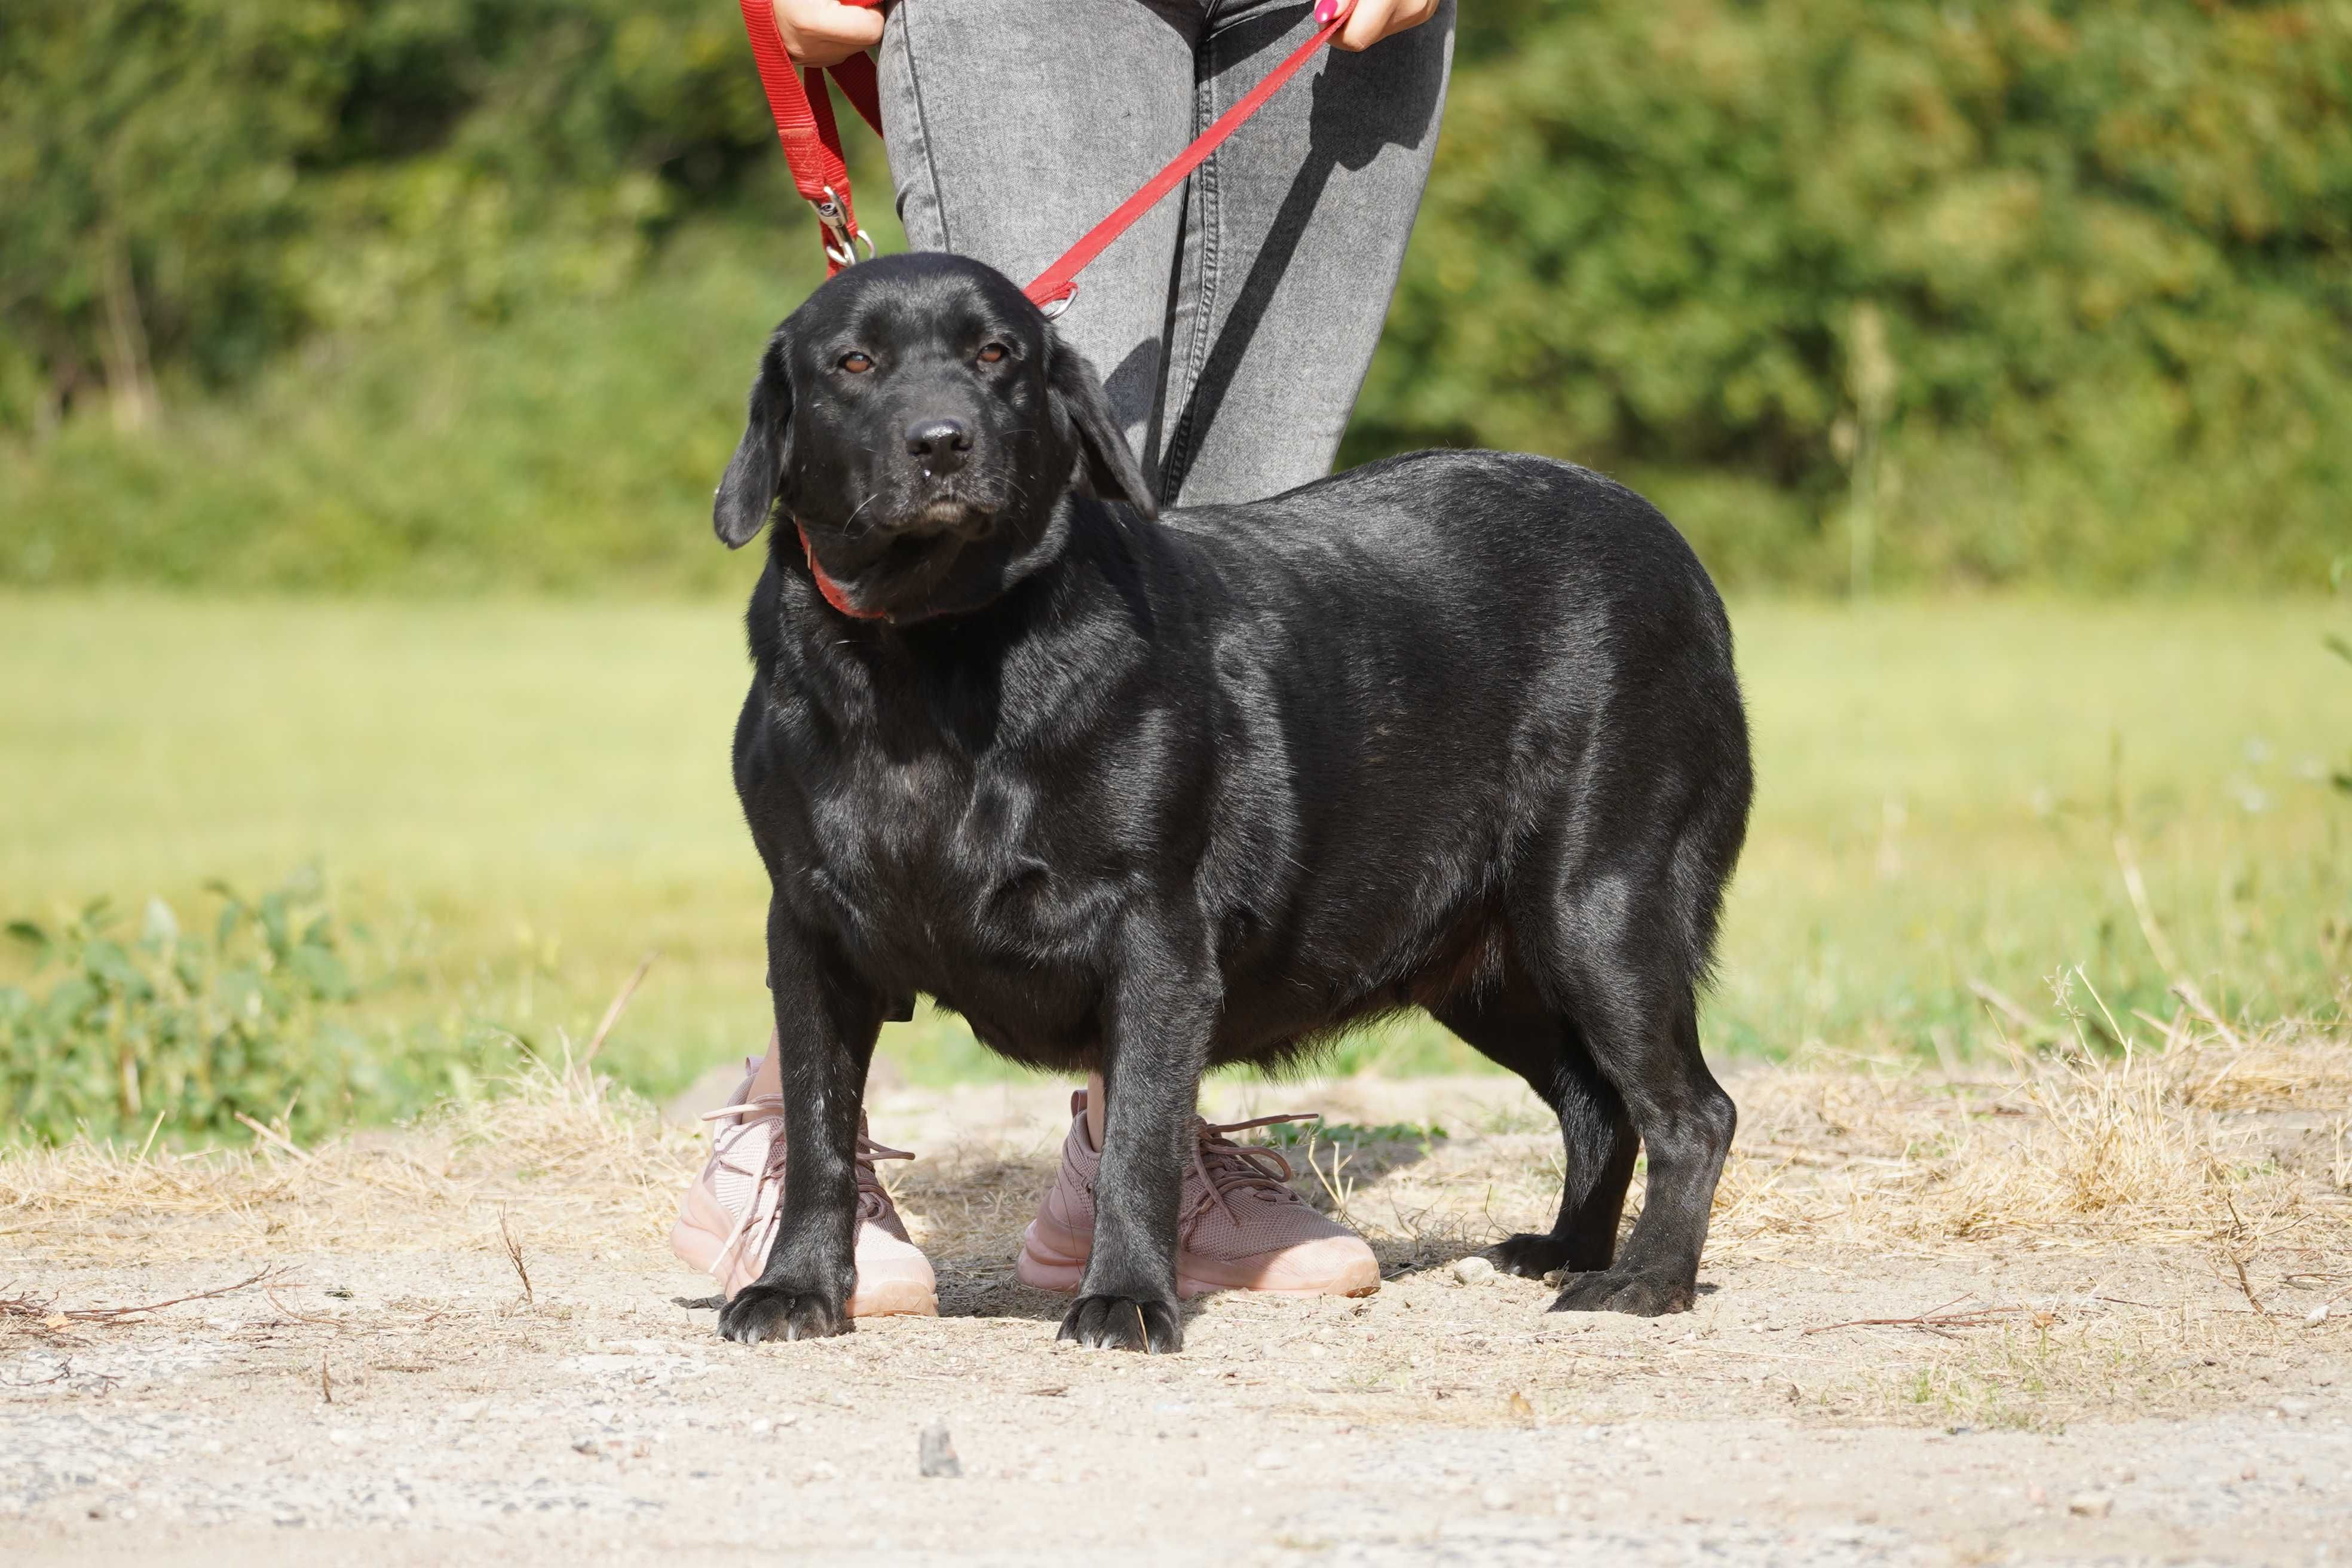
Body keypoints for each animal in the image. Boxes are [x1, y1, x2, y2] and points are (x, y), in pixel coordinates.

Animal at [696, 251, 1750, 1354]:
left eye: (996, 354)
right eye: (853, 362)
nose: (943, 440)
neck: (932, 660)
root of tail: (1673, 549)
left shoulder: (1157, 939)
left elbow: (1141, 1137)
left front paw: (1124, 1299)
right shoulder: (812, 933)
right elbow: (818, 1126)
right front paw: (798, 1287)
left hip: (1598, 907)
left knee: (1692, 1111)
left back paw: (1646, 1279)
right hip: (1490, 967)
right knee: (1600, 1104)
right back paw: (1567, 1249)